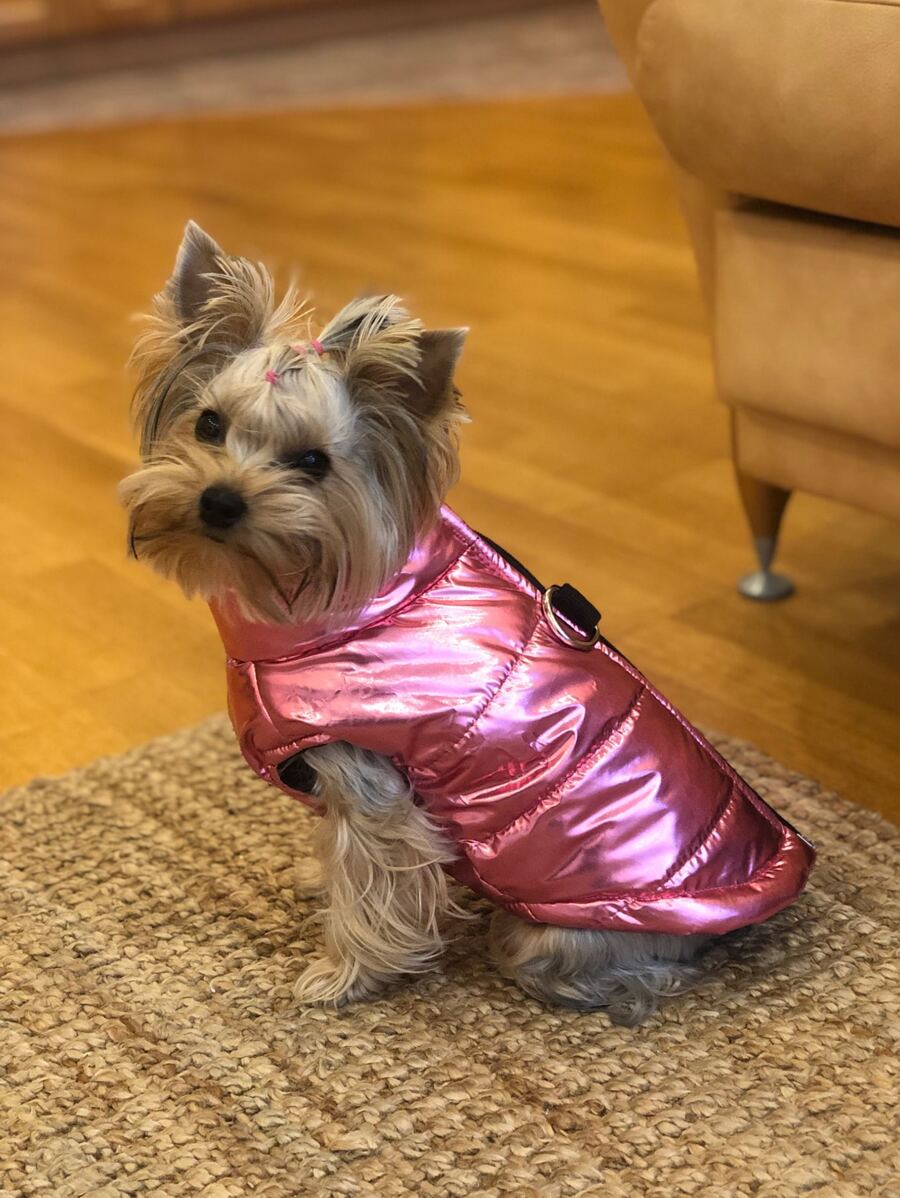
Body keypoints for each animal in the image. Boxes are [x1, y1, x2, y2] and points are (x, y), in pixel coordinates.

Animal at [120, 222, 815, 1024]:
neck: (328, 604)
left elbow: (372, 888)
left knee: (617, 972)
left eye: (313, 463)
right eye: (208, 423)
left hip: (556, 933)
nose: (220, 500)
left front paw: (341, 977)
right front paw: (318, 879)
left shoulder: (372, 781)